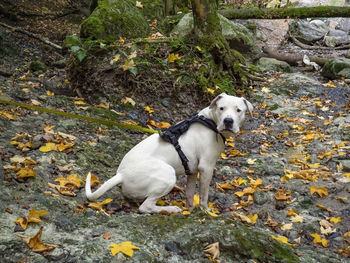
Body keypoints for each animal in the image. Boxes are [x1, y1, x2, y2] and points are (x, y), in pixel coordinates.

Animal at [86, 94, 253, 213]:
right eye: (221, 108)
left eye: (238, 110)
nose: (228, 121)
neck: (210, 122)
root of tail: (121, 175)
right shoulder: (206, 167)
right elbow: (204, 195)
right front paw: (206, 211)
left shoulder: (193, 171)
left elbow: (190, 192)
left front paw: (190, 208)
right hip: (167, 173)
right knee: (145, 207)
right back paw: (170, 209)